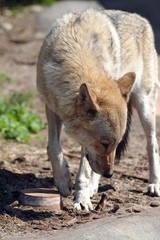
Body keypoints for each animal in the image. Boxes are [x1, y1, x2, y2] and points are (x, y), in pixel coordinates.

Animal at [36, 8, 160, 210]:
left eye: (115, 144)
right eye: (104, 143)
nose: (110, 174)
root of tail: (141, 19)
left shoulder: (86, 142)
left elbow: (84, 172)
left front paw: (82, 199)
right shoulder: (52, 107)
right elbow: (54, 148)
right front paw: (63, 180)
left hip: (145, 107)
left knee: (153, 144)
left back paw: (154, 184)